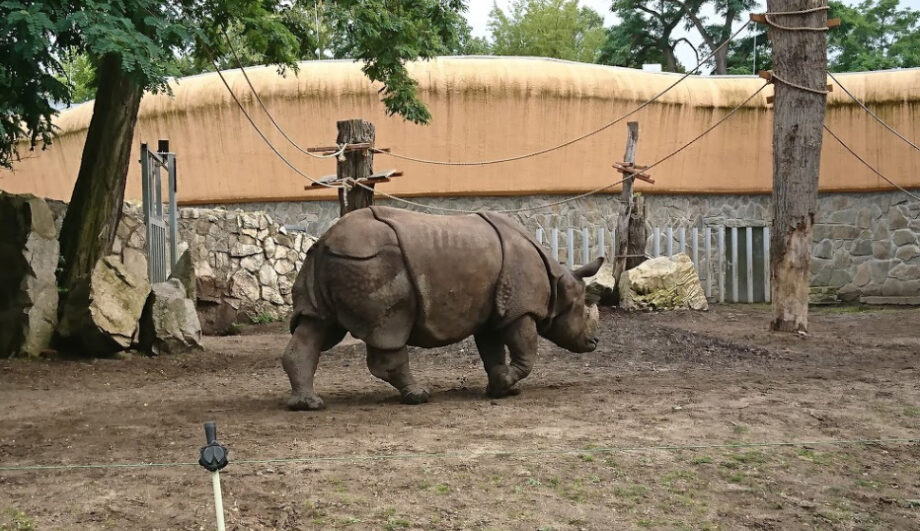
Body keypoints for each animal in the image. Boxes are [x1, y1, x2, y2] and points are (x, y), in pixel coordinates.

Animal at [283, 206, 603, 410]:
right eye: (583, 310)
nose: (595, 342)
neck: (558, 281)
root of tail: (325, 239)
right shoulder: (519, 309)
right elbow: (526, 353)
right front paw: (506, 383)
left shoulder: (491, 312)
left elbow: (492, 351)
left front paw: (502, 388)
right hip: (371, 263)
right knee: (390, 328)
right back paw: (419, 396)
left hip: (332, 263)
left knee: (316, 325)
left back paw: (308, 405)